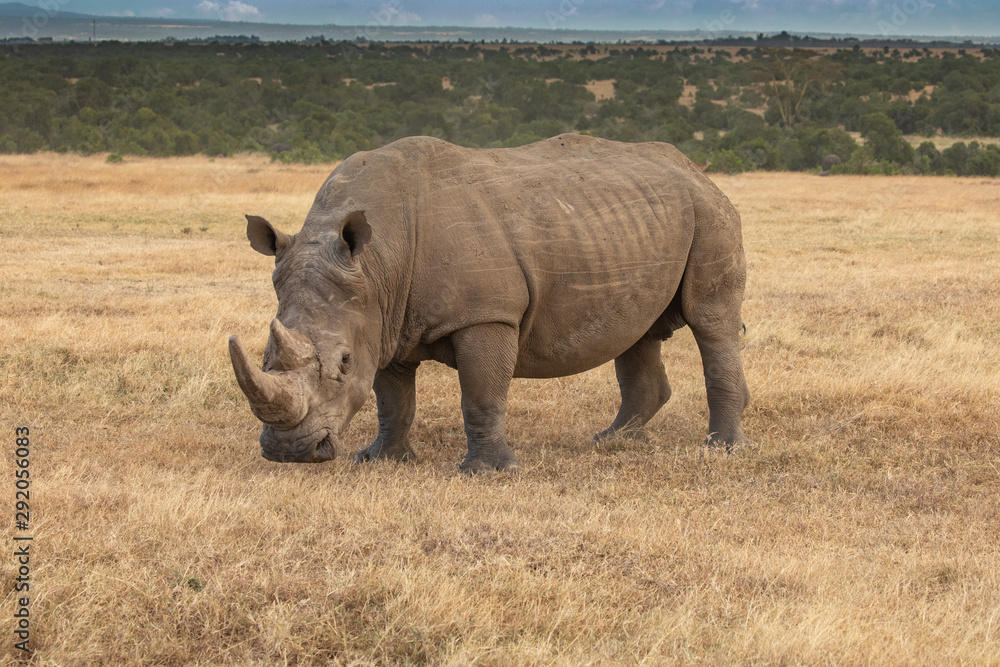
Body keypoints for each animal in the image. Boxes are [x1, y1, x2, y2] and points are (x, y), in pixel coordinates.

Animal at [229, 134, 749, 473]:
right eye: (264, 356)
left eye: (342, 361)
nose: (289, 451)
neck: (378, 264)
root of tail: (694, 169)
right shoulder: (381, 318)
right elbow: (392, 399)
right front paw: (380, 460)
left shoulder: (484, 315)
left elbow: (481, 392)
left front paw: (490, 472)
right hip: (635, 224)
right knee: (635, 330)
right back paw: (610, 441)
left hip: (710, 214)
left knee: (711, 322)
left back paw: (721, 451)